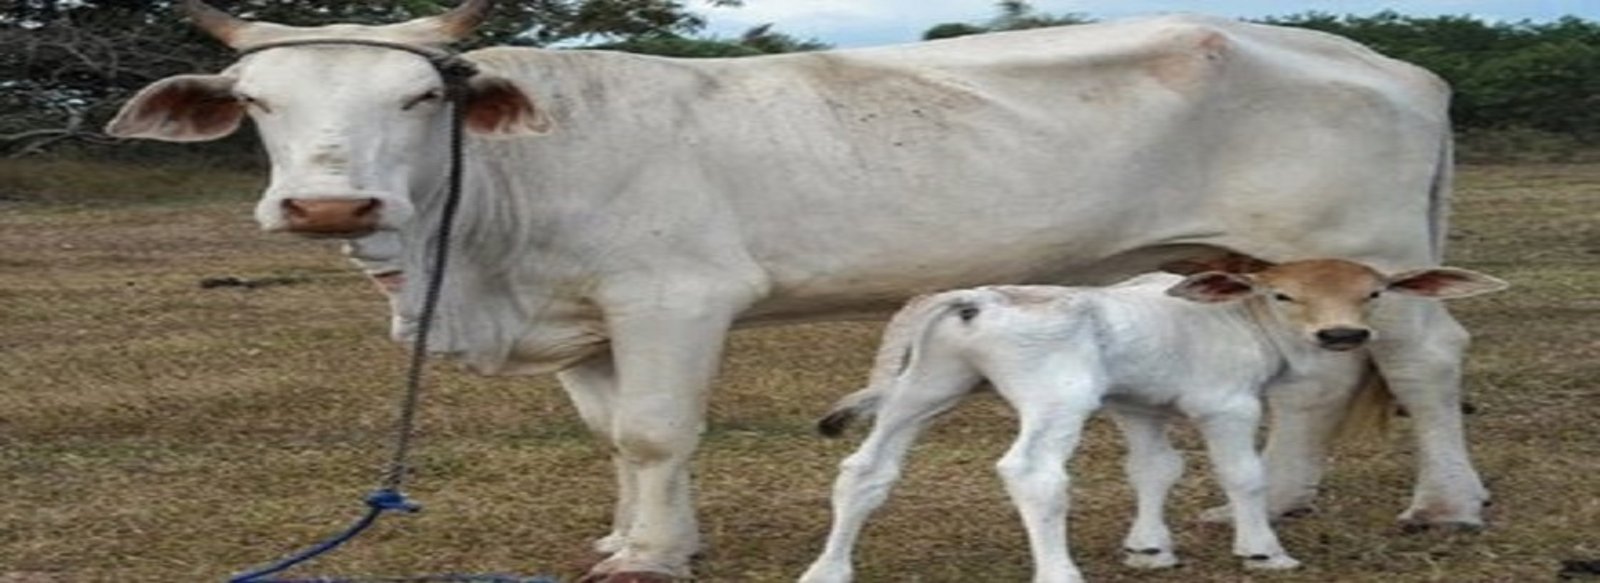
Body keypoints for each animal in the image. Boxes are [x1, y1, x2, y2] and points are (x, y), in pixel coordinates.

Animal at [798, 258, 1507, 583]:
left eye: (1374, 292)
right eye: (1284, 293)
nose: (1343, 334)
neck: (1239, 321)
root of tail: (975, 297)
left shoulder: (1138, 406)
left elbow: (1154, 470)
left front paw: (1150, 548)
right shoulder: (1228, 405)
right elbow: (1242, 476)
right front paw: (1263, 549)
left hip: (927, 386)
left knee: (867, 468)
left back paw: (829, 570)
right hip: (1056, 395)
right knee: (1034, 473)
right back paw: (1059, 573)